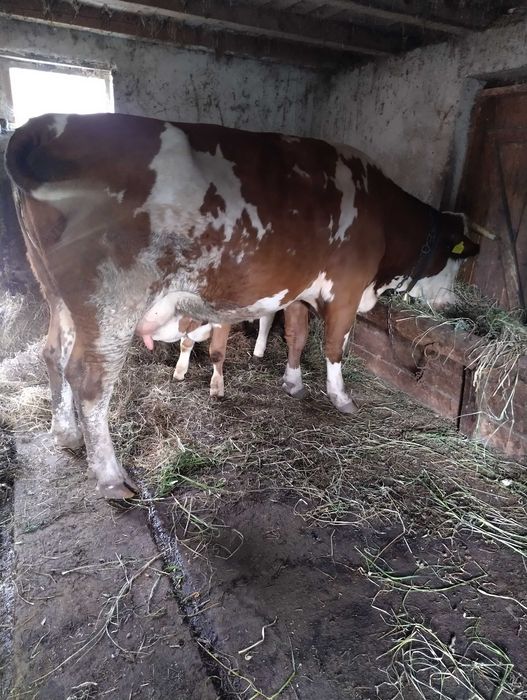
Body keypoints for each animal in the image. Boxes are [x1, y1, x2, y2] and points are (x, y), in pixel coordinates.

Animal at [5, 113, 479, 499]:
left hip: (59, 298)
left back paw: (65, 433)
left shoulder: (298, 290)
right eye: (456, 258)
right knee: (90, 380)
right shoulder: (344, 289)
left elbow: (296, 336)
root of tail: (47, 124)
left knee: (53, 354)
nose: (453, 308)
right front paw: (341, 397)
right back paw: (110, 478)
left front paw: (292, 383)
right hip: (111, 302)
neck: (380, 213)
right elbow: (334, 347)